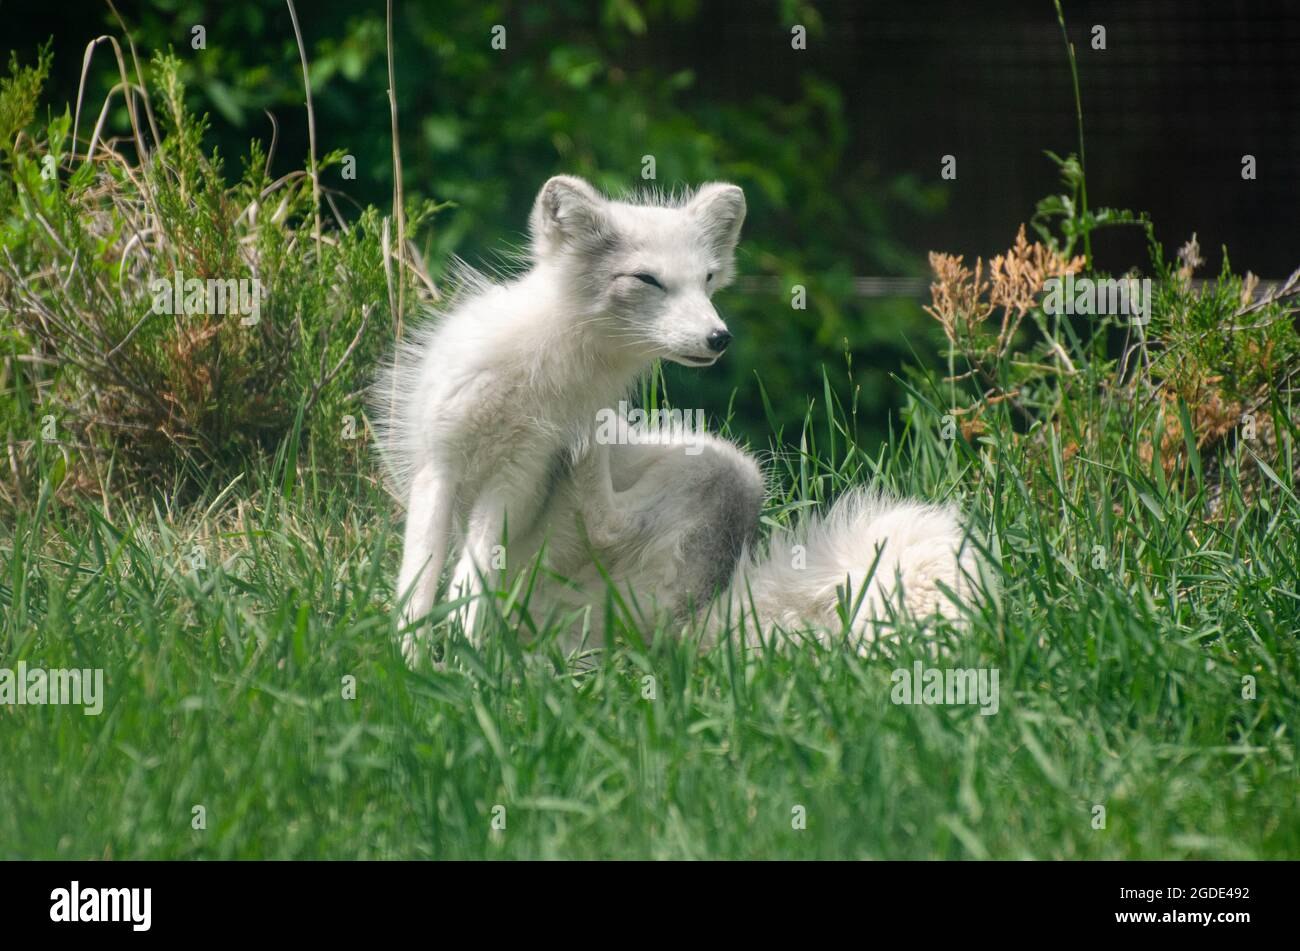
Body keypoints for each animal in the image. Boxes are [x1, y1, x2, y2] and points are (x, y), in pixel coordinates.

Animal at [371, 175, 982, 662]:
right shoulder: (439, 467)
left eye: (707, 280)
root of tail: (685, 627)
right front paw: (411, 663)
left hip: (729, 465)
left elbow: (469, 585)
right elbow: (419, 583)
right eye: (646, 279)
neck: (543, 368)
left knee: (607, 521)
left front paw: (457, 665)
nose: (719, 337)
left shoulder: (513, 479)